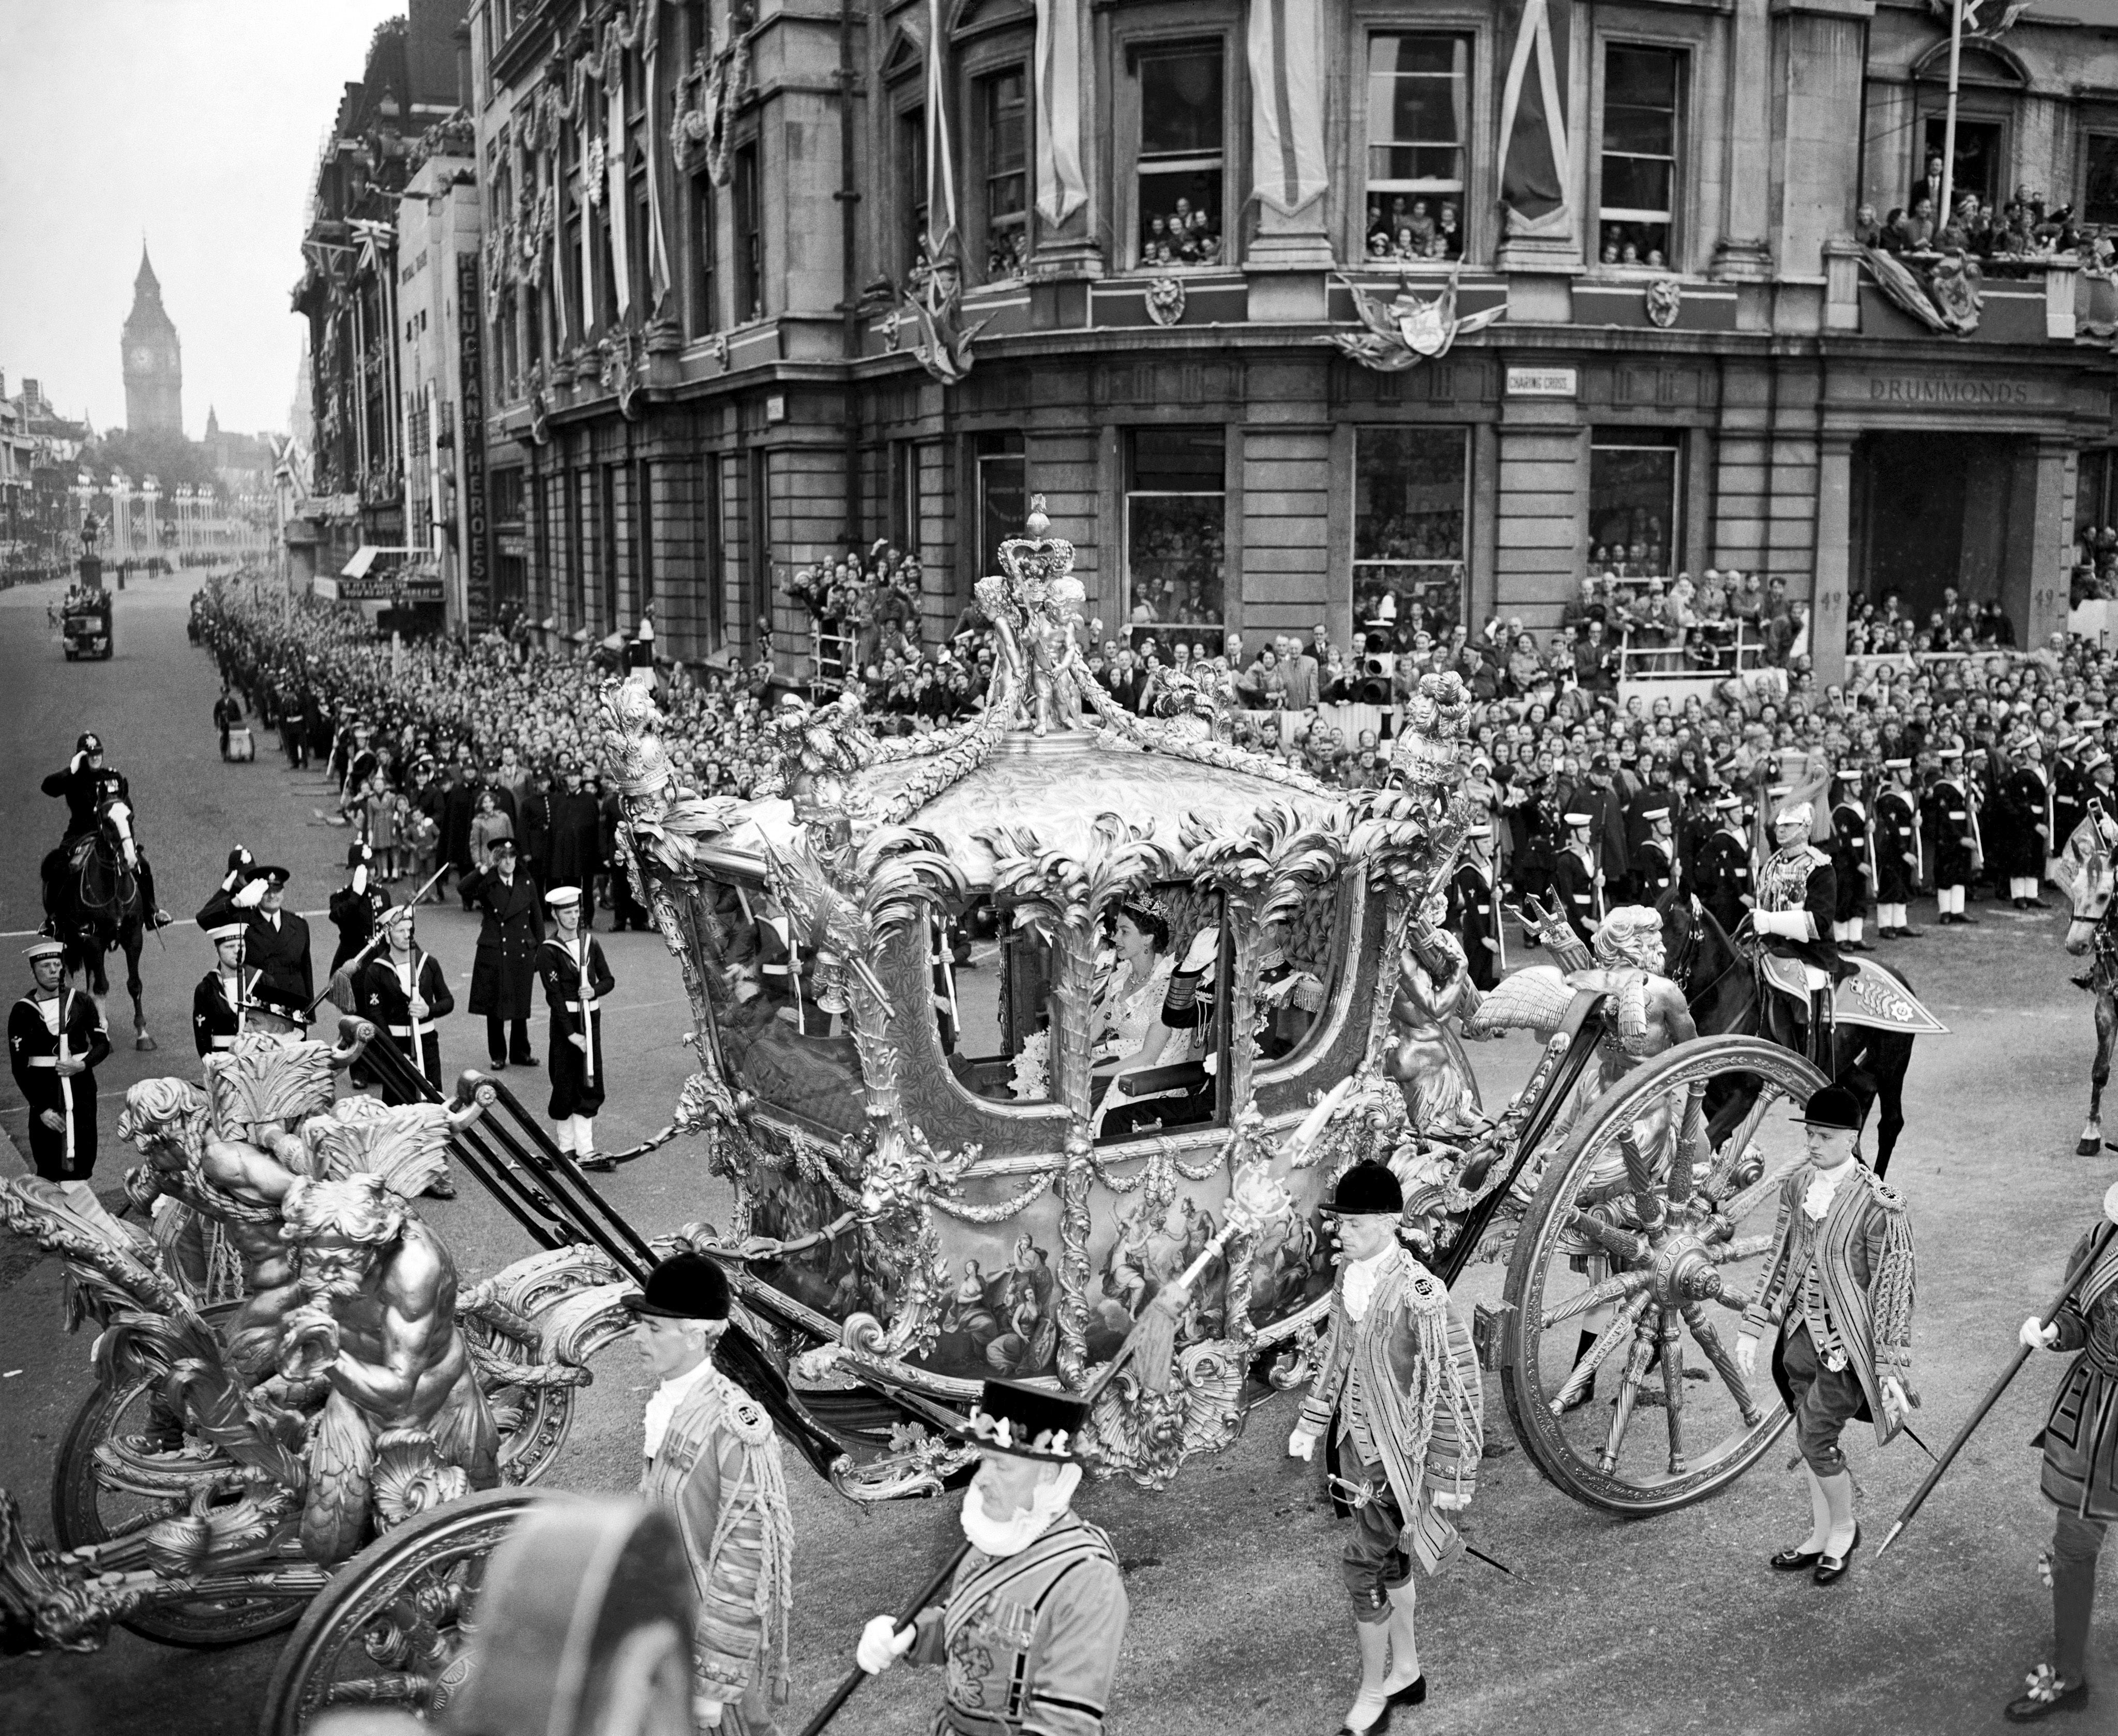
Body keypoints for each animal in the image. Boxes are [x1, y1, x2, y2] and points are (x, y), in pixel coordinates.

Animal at [42, 791, 155, 1050]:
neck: (113, 890)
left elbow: (134, 984)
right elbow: (102, 987)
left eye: (131, 816)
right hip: (71, 939)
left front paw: (143, 1033)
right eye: (107, 821)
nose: (130, 860)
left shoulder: (133, 937)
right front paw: (103, 1033)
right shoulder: (93, 939)